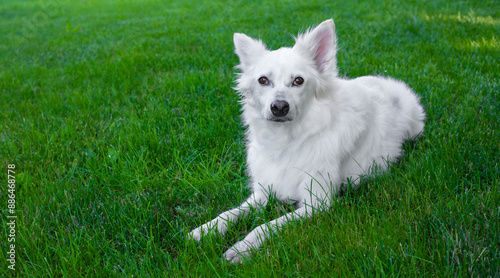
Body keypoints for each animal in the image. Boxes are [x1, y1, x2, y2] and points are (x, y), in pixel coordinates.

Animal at [188, 19, 426, 262]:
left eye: (298, 80)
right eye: (263, 80)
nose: (279, 107)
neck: (288, 141)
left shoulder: (316, 203)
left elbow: (266, 226)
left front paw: (242, 248)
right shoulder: (263, 192)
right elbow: (232, 212)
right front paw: (206, 230)